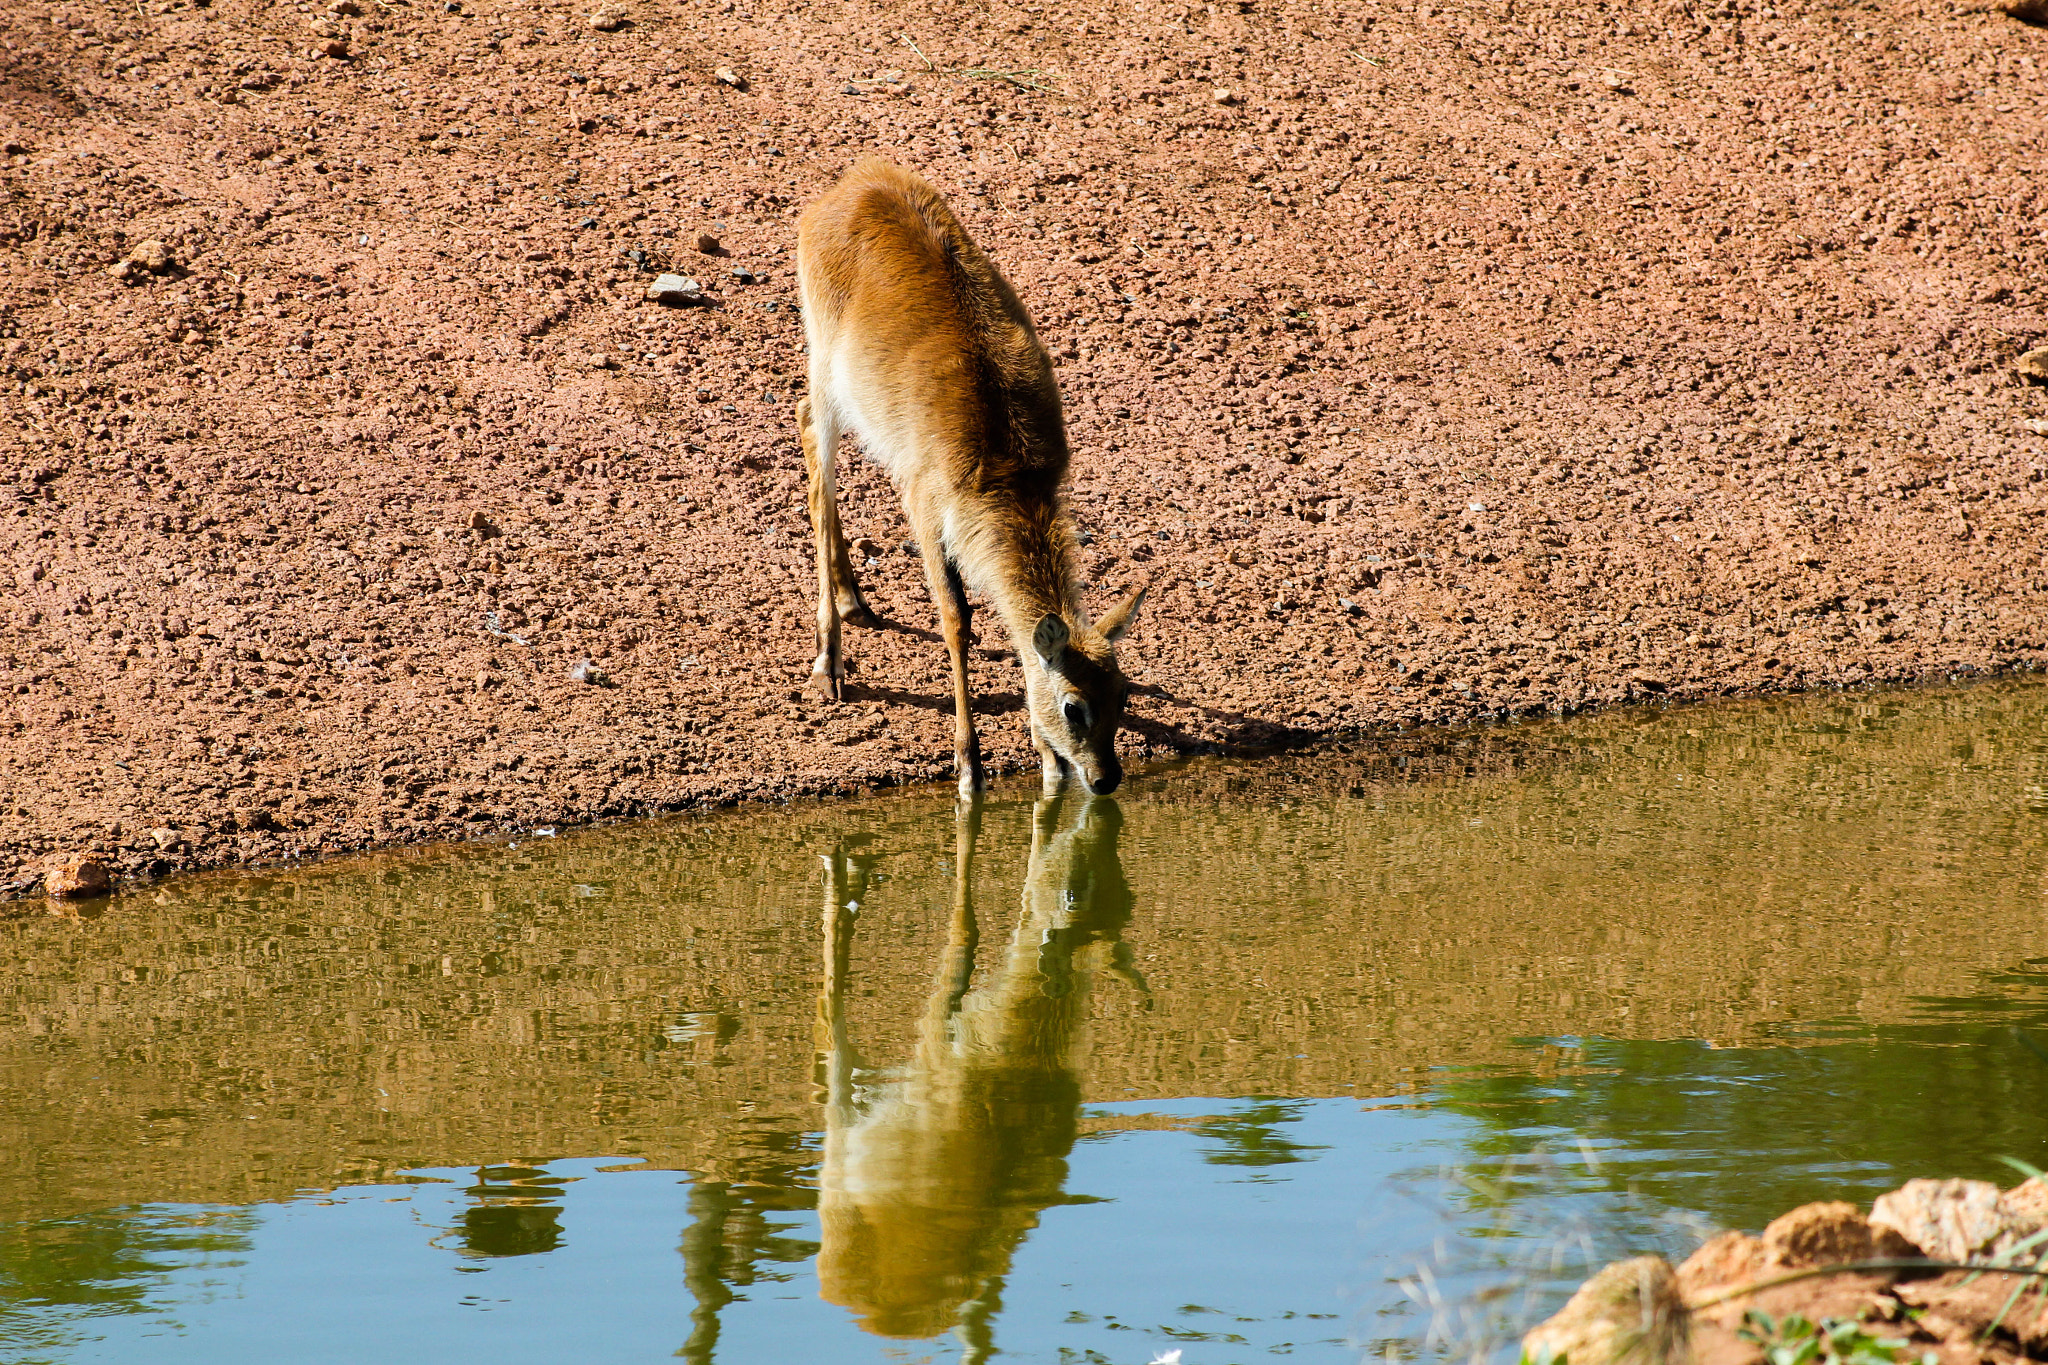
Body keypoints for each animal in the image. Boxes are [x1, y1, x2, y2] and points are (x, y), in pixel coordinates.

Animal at [790, 157, 1146, 802]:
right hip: (823, 370)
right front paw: (968, 766)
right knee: (812, 444)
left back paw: (858, 602)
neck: (1007, 468)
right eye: (1074, 706)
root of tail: (852, 181)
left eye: (1123, 694)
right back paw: (828, 664)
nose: (1106, 779)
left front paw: (1044, 760)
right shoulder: (924, 506)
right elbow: (957, 621)